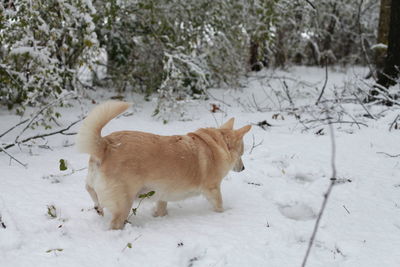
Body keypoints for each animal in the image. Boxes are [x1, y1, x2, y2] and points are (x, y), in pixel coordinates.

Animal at [76, 101, 252, 230]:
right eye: (242, 153)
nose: (244, 168)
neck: (216, 144)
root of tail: (105, 145)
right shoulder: (213, 189)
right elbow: (219, 205)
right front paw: (223, 214)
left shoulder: (162, 193)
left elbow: (161, 207)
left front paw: (160, 216)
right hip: (124, 203)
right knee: (114, 223)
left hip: (96, 185)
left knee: (90, 190)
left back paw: (98, 208)